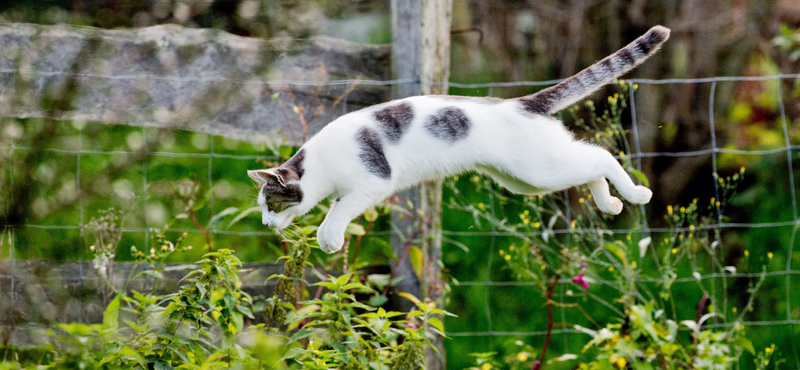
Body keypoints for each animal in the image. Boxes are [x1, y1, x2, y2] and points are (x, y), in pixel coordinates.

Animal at [248, 24, 668, 253]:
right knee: (589, 163)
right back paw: (611, 204)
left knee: (602, 156)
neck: (321, 165)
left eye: (272, 204)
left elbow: (335, 213)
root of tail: (522, 102)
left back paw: (636, 195)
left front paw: (330, 238)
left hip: (539, 170)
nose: (266, 224)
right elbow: (335, 208)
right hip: (526, 180)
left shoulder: (372, 183)